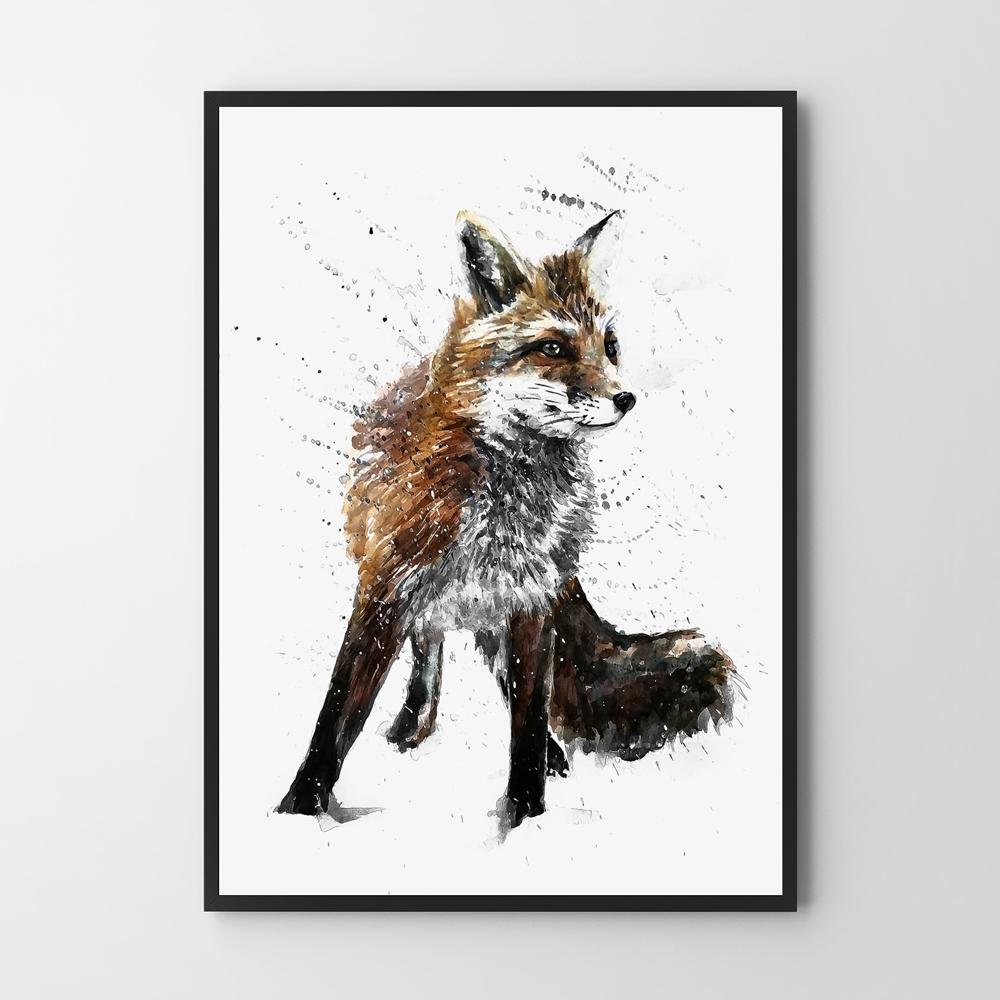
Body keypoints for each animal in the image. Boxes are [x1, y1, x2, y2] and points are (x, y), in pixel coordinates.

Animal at [276, 210, 735, 830]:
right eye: (553, 348)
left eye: (610, 345)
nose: (627, 398)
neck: (502, 497)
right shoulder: (385, 587)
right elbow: (336, 714)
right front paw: (300, 809)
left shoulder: (530, 599)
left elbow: (528, 719)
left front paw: (525, 813)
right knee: (430, 646)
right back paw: (413, 725)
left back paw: (547, 757)